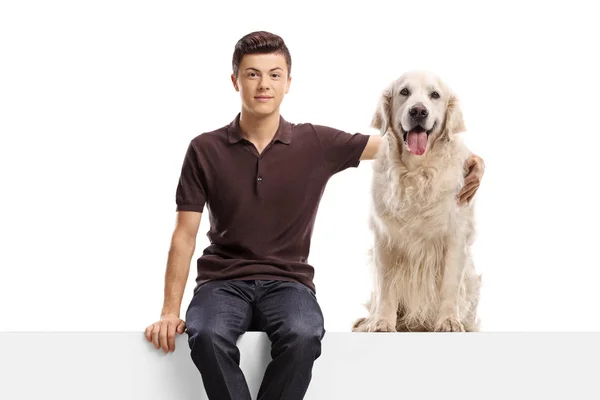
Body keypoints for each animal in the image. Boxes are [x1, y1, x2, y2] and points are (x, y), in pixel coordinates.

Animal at [354, 70, 480, 332]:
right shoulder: (385, 235)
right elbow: (386, 286)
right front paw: (382, 322)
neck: (416, 171)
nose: (419, 111)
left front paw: (449, 321)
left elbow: (449, 284)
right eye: (404, 92)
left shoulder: (455, 235)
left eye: (435, 95)